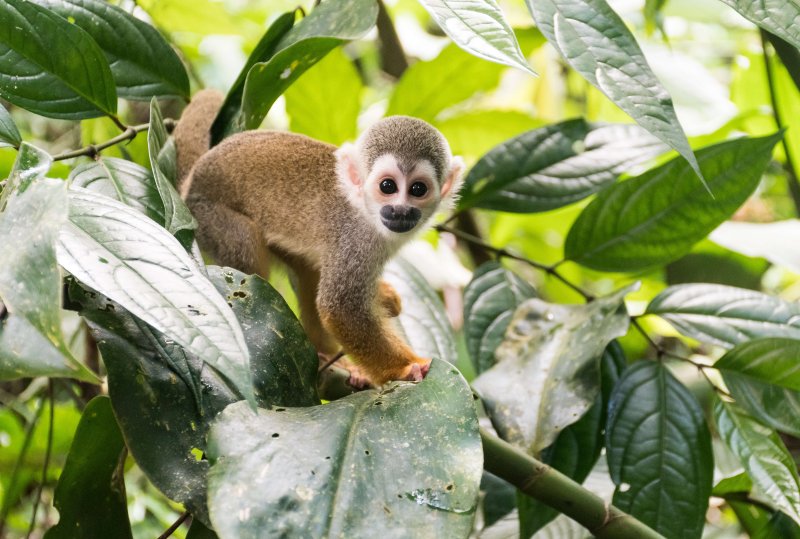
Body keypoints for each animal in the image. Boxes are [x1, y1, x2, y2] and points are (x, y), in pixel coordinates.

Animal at [172, 89, 464, 387]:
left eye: (418, 189)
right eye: (387, 186)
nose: (400, 211)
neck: (366, 211)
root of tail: (191, 181)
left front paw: (383, 298)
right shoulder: (354, 238)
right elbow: (341, 308)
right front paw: (406, 367)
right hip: (208, 216)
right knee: (245, 246)